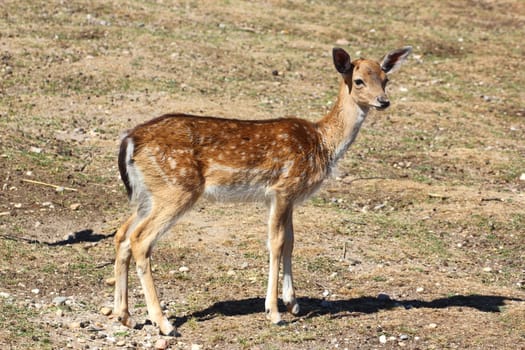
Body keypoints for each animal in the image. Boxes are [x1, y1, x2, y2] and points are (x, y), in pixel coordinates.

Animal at [112, 45, 412, 334]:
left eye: (386, 79)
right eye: (359, 80)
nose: (383, 101)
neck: (323, 143)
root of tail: (130, 140)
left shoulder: (289, 197)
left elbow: (291, 241)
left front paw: (293, 303)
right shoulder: (283, 188)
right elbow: (276, 243)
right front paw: (274, 312)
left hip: (148, 194)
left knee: (122, 235)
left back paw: (125, 316)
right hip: (176, 188)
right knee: (140, 239)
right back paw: (164, 323)